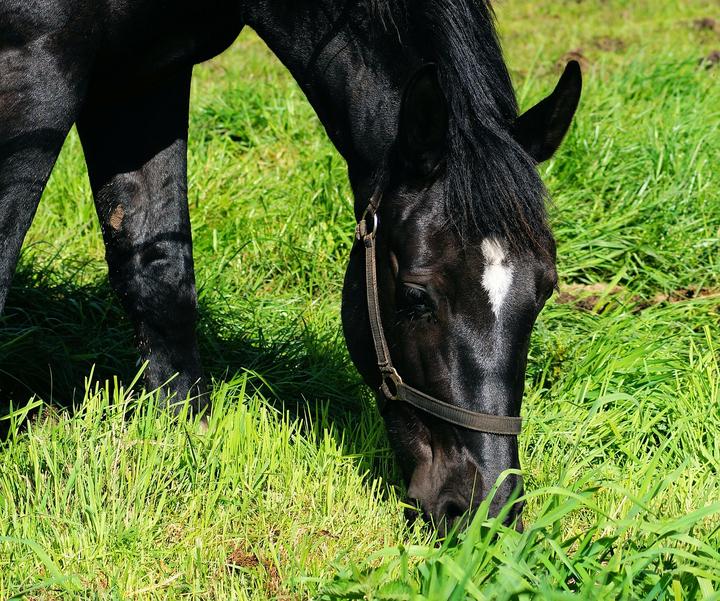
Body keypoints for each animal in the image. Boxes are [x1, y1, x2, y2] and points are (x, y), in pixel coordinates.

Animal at [0, 0, 580, 528]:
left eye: (545, 292)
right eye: (415, 297)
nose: (489, 513)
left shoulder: (148, 73)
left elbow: (160, 279)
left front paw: (182, 440)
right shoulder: (35, 64)